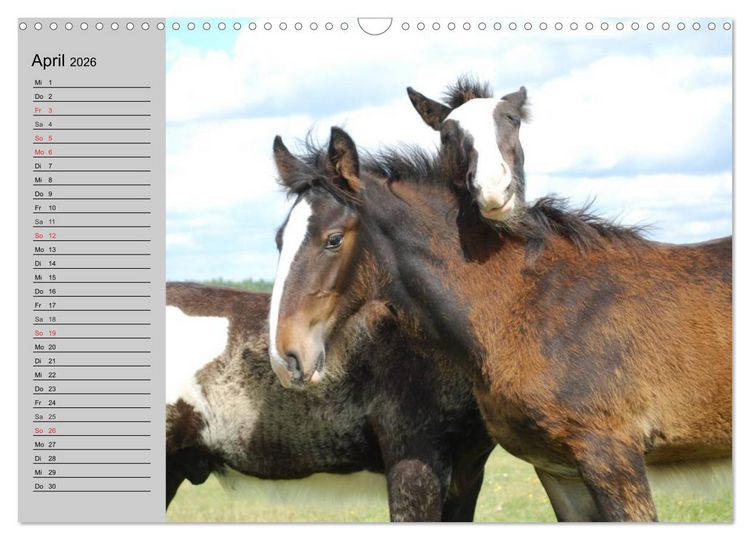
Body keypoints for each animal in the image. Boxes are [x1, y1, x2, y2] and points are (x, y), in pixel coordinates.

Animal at [267, 126, 732, 521]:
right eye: (278, 240)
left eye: (333, 239)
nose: (286, 357)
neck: (529, 306)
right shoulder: (560, 470)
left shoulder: (612, 457)